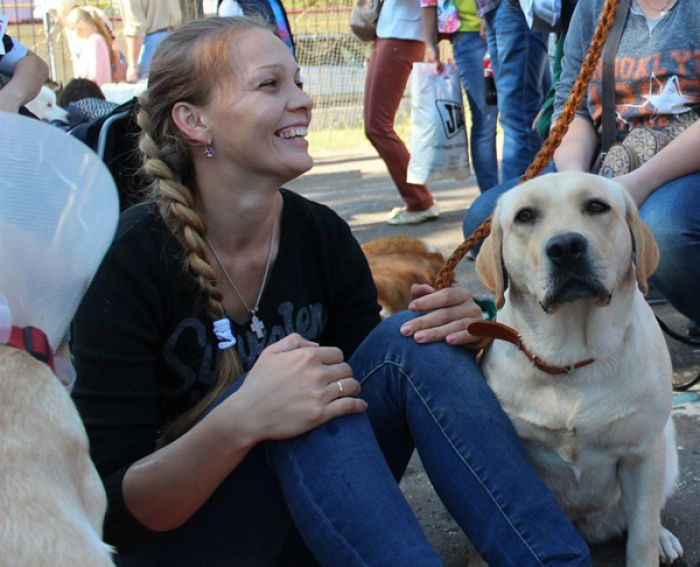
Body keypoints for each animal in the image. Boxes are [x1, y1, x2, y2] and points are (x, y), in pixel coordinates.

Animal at [470, 174, 684, 567]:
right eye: (525, 216)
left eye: (597, 206)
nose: (566, 247)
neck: (570, 360)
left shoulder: (643, 454)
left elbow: (641, 537)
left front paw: (652, 543)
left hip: (666, 449)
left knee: (649, 517)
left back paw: (663, 538)